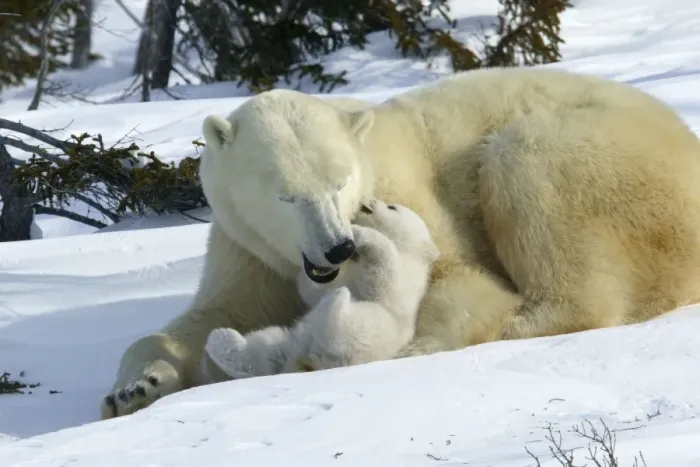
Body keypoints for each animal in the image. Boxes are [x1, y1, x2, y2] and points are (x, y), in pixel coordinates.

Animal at [204, 199, 440, 379]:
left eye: (392, 207)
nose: (369, 201)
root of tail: (310, 362)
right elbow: (316, 289)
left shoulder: (406, 276)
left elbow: (384, 276)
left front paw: (359, 232)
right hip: (292, 341)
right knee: (265, 351)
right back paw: (220, 338)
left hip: (370, 332)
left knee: (339, 330)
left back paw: (337, 302)